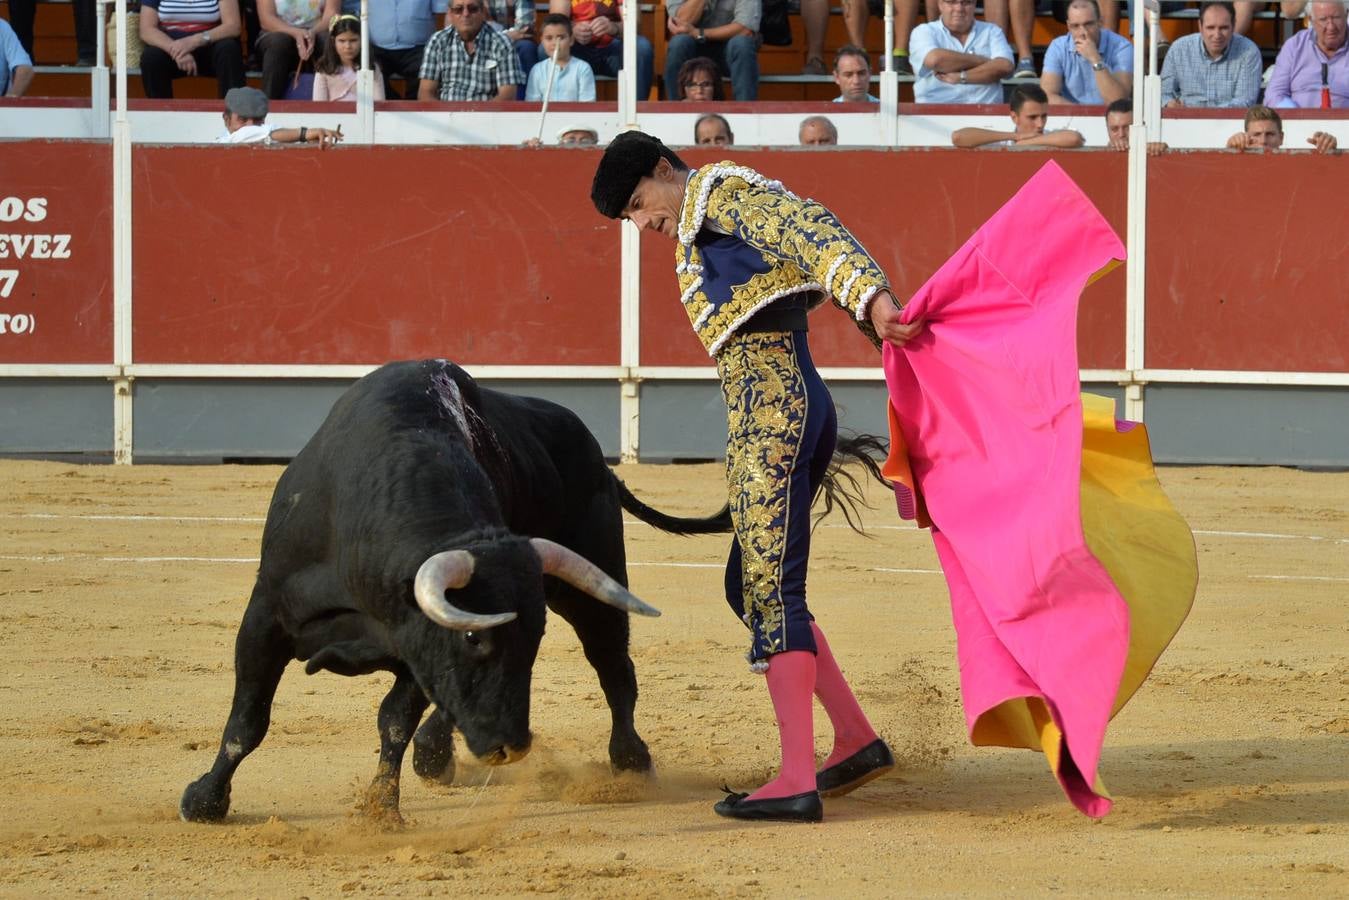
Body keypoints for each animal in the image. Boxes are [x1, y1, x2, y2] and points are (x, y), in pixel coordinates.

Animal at [183, 358, 733, 825]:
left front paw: (382, 812)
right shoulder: (267, 615)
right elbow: (247, 720)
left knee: (613, 666)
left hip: (594, 585)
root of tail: (599, 458)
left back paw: (631, 761)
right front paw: (205, 800)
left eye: (534, 642)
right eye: (473, 637)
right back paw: (436, 755)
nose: (509, 746)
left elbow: (394, 719)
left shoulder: (413, 640)